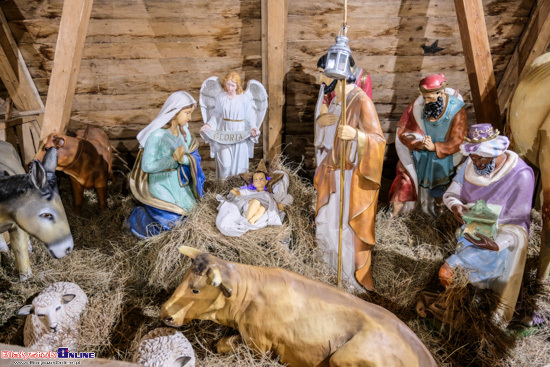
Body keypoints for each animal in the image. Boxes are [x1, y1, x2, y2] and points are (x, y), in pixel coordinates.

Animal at [162, 247, 438, 367]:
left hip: (343, 356)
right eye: (183, 279)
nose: (164, 314)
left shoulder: (260, 346)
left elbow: (222, 344)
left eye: (196, 289)